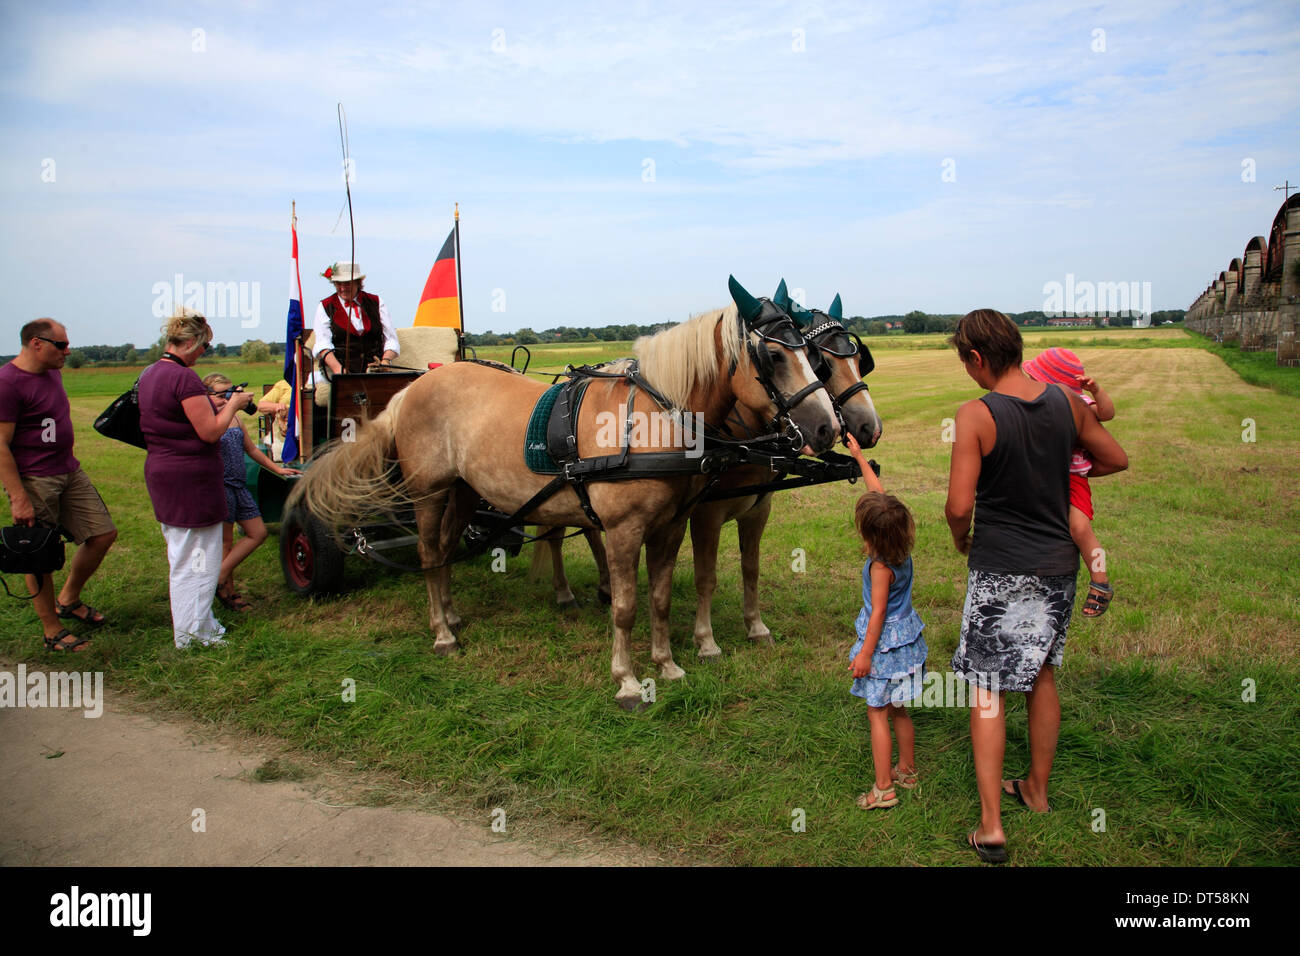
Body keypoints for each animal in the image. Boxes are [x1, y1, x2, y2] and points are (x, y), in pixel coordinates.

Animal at [288, 278, 837, 712]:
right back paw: (441, 633)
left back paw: (452, 616)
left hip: (463, 493)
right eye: (773, 355)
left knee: (443, 552)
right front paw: (628, 682)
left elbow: (658, 598)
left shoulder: (671, 526)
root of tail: (411, 389)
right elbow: (626, 606)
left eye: (812, 357)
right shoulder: (623, 531)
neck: (652, 420)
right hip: (429, 492)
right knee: (427, 554)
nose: (827, 427)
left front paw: (667, 665)